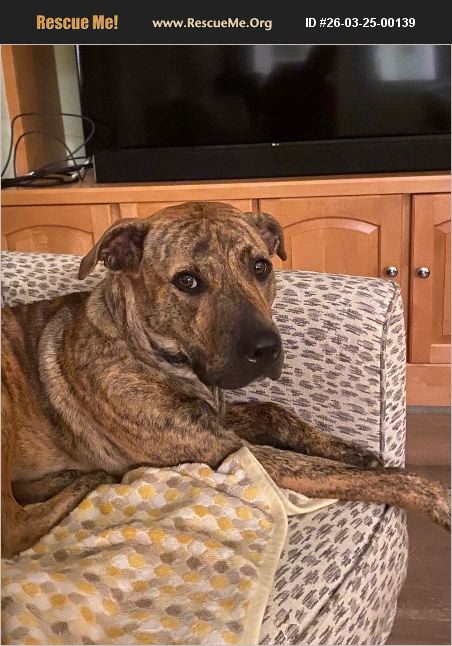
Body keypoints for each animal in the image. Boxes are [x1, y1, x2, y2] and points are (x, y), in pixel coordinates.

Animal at [2, 201, 450, 558]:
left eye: (260, 267)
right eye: (186, 281)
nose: (267, 349)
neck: (147, 352)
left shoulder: (217, 417)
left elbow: (274, 410)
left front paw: (347, 449)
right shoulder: (228, 450)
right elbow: (349, 475)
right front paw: (437, 497)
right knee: (15, 530)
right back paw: (87, 479)